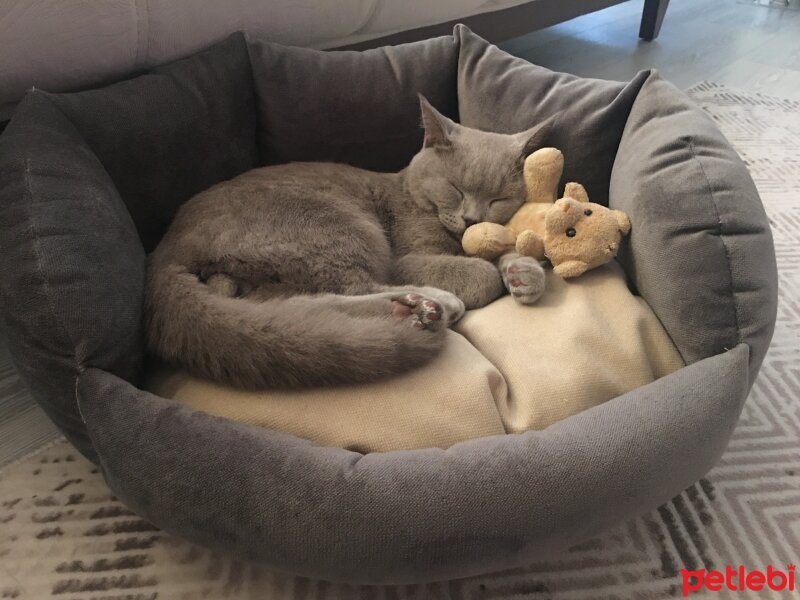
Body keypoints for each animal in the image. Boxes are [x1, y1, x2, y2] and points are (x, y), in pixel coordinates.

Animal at [145, 96, 552, 390]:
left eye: (498, 199)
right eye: (455, 189)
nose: (471, 219)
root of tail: (163, 253)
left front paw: (525, 274)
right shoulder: (405, 257)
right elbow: (481, 273)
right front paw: (495, 274)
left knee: (289, 306)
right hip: (340, 227)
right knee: (351, 287)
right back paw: (430, 305)